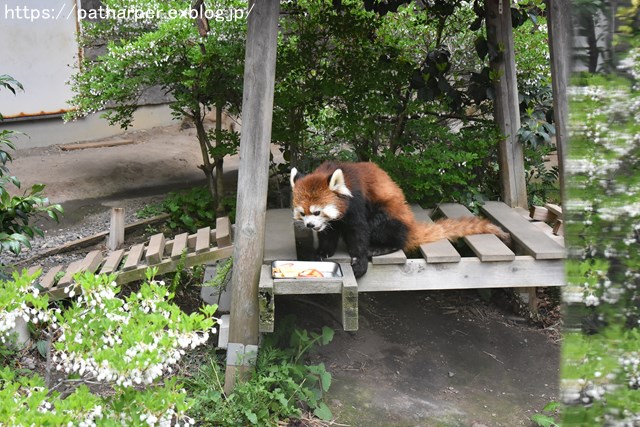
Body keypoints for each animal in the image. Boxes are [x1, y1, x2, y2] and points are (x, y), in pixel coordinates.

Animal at [292, 162, 510, 280]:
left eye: (317, 212)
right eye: (303, 213)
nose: (310, 225)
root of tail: (410, 225)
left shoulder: (357, 202)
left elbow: (359, 231)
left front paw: (360, 261)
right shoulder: (334, 220)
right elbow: (330, 231)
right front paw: (322, 252)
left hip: (390, 216)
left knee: (384, 229)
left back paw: (382, 247)